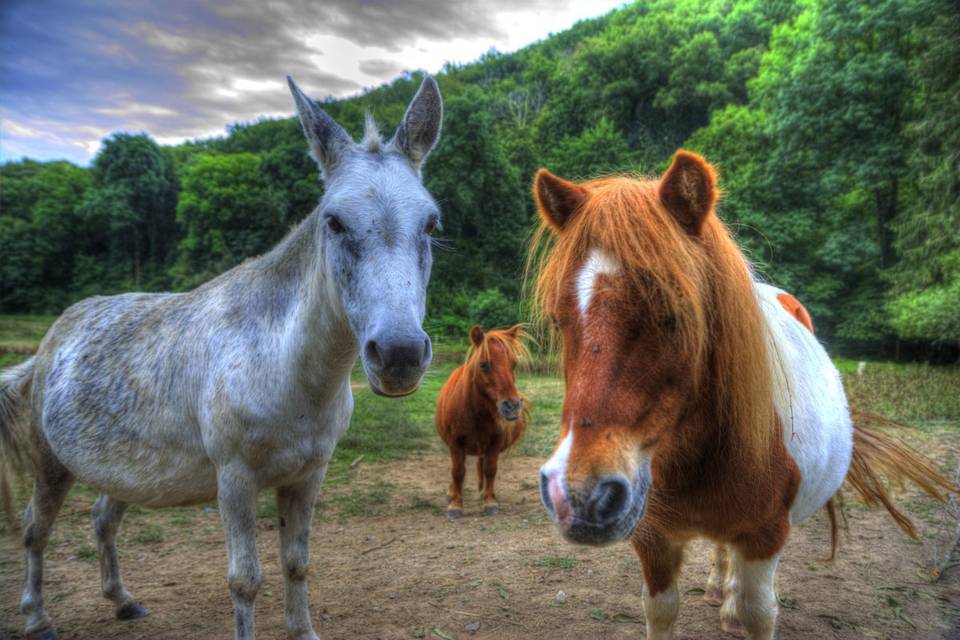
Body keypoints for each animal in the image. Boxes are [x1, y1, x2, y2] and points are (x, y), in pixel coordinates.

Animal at [0, 75, 442, 640]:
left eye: (430, 223)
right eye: (334, 222)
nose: (399, 354)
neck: (282, 368)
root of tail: (49, 344)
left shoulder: (308, 476)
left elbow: (296, 563)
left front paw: (302, 630)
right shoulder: (234, 480)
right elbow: (245, 580)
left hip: (119, 470)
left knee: (103, 518)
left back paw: (123, 601)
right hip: (50, 463)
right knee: (35, 530)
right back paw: (37, 617)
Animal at [436, 328, 528, 516]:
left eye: (514, 363)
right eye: (484, 365)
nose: (513, 406)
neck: (475, 412)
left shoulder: (495, 443)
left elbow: (490, 469)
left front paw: (490, 501)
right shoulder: (455, 443)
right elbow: (458, 471)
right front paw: (455, 504)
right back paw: (452, 493)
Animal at [528, 151, 956, 640]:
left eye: (677, 313)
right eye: (558, 319)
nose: (580, 496)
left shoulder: (763, 538)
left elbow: (758, 611)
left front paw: (740, 608)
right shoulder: (653, 539)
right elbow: (661, 609)